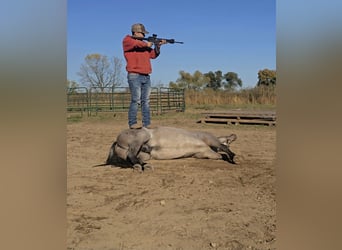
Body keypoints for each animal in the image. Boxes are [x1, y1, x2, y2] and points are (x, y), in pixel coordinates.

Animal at [101, 126, 238, 171]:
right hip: (143, 135)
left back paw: (144, 165)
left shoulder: (205, 154)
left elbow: (220, 154)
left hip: (145, 155)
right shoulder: (209, 139)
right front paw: (233, 158)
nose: (234, 135)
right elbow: (223, 148)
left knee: (134, 158)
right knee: (131, 154)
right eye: (229, 140)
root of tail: (116, 141)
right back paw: (143, 166)